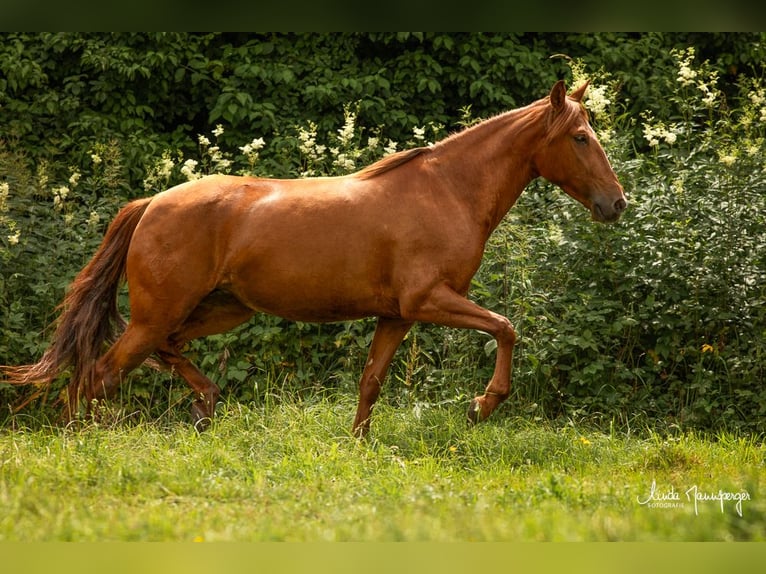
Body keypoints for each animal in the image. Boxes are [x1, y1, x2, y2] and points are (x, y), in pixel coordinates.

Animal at [3, 81, 628, 436]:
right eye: (579, 137)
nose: (616, 203)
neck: (448, 190)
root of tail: (151, 202)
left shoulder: (396, 315)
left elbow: (371, 381)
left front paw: (359, 444)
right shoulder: (430, 300)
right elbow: (505, 327)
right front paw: (482, 406)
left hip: (221, 310)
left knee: (162, 352)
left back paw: (207, 407)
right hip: (161, 313)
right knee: (101, 372)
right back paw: (86, 439)